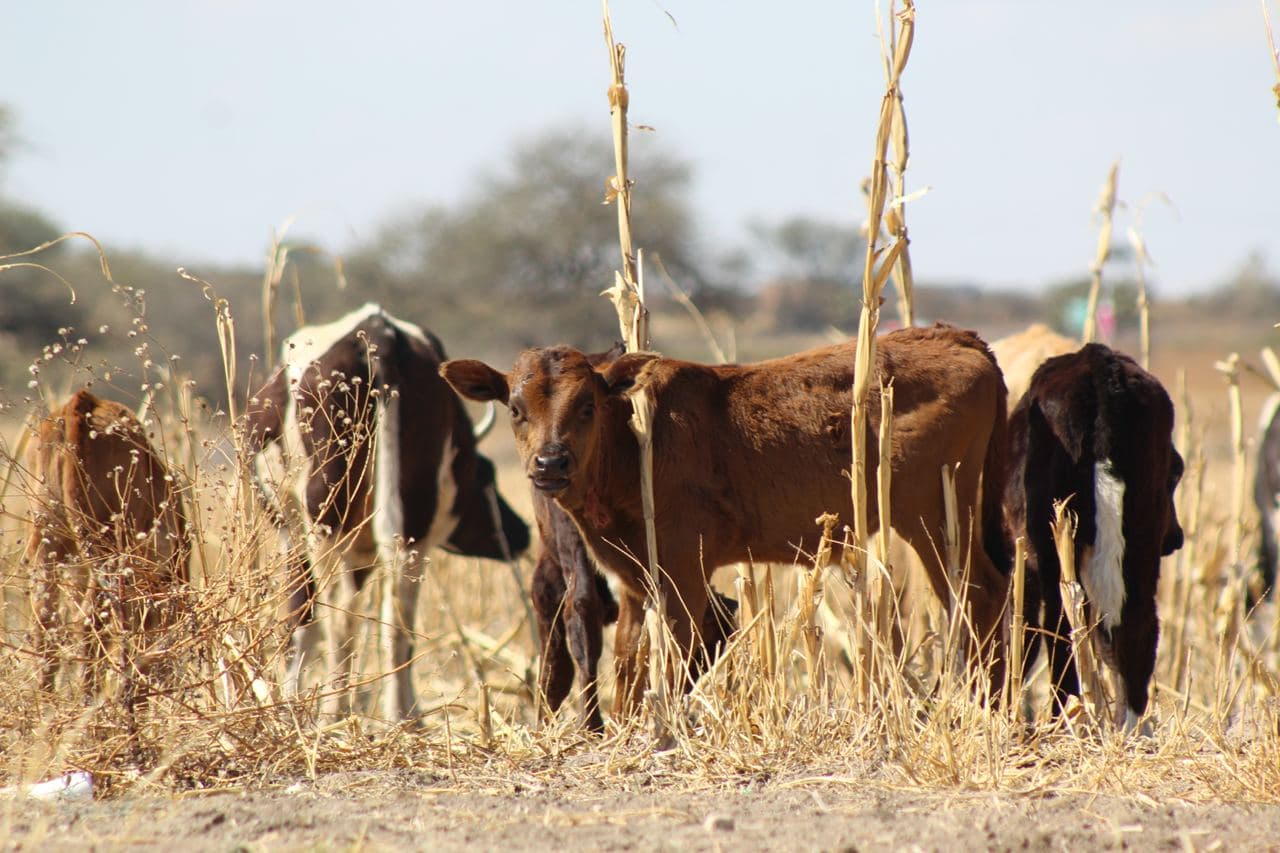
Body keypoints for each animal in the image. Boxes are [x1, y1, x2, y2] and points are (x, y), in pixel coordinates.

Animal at [24, 389, 189, 696]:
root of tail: (80, 404)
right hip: (106, 551)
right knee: (93, 622)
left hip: (49, 541)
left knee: (46, 621)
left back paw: (47, 700)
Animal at [244, 306, 529, 717]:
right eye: (486, 474)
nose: (521, 532)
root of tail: (381, 334)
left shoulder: (293, 535)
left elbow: (300, 617)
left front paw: (290, 698)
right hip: (408, 528)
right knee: (397, 616)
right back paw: (403, 717)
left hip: (327, 521)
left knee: (339, 614)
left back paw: (334, 711)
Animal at [445, 322, 1013, 706]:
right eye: (516, 409)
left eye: (587, 406)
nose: (550, 463)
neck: (635, 444)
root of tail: (956, 336)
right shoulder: (633, 576)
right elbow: (629, 661)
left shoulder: (683, 573)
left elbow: (673, 657)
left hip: (936, 517)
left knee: (977, 594)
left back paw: (983, 706)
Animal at [1003, 343, 1182, 727]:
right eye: (1176, 474)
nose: (1176, 538)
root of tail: (1102, 370)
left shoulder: (1024, 561)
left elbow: (1022, 632)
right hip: (1139, 542)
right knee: (1136, 624)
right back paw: (1131, 728)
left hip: (1051, 548)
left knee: (1060, 628)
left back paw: (1066, 719)